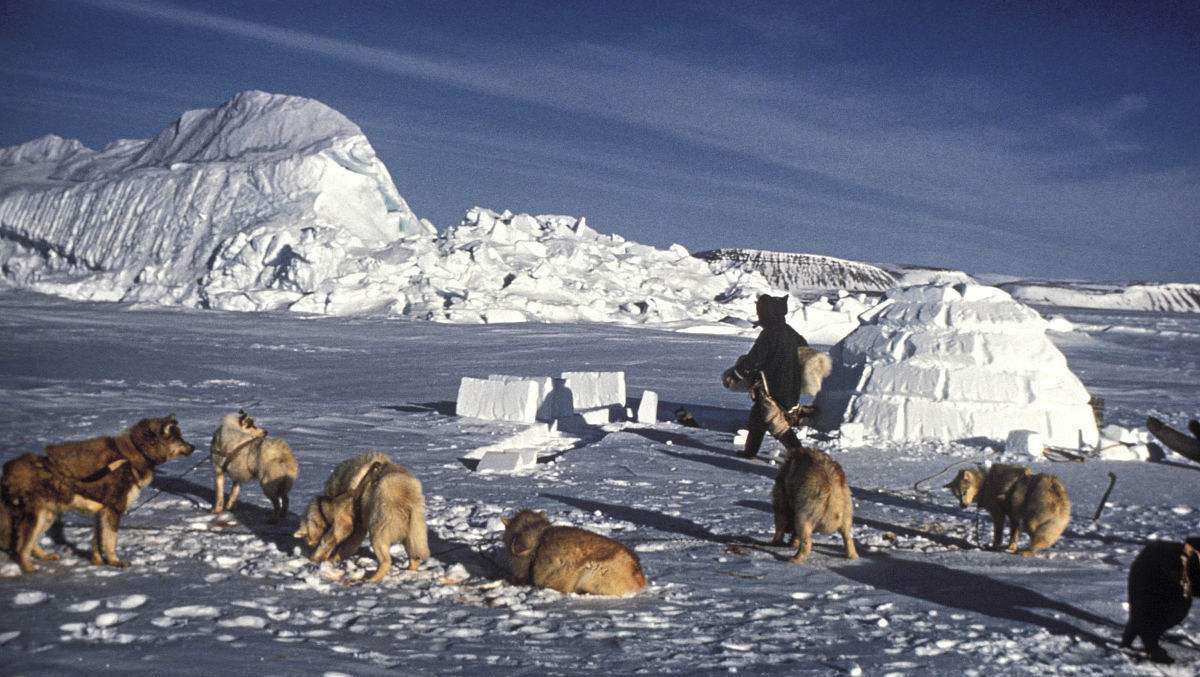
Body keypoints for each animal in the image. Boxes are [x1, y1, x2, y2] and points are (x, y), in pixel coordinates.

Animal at [1, 417, 194, 571]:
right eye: (178, 438)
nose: (194, 447)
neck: (132, 455)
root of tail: (8, 472)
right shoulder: (114, 509)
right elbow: (110, 541)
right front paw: (115, 562)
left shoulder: (101, 512)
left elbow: (97, 541)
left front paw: (98, 561)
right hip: (37, 516)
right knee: (21, 548)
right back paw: (30, 569)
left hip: (48, 515)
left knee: (31, 544)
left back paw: (46, 557)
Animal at [292, 448, 429, 580]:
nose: (310, 545)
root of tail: (406, 494)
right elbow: (351, 541)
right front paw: (333, 558)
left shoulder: (346, 510)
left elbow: (339, 533)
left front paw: (318, 558)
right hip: (415, 524)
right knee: (414, 547)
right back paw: (410, 570)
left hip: (383, 518)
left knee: (383, 552)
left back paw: (371, 579)